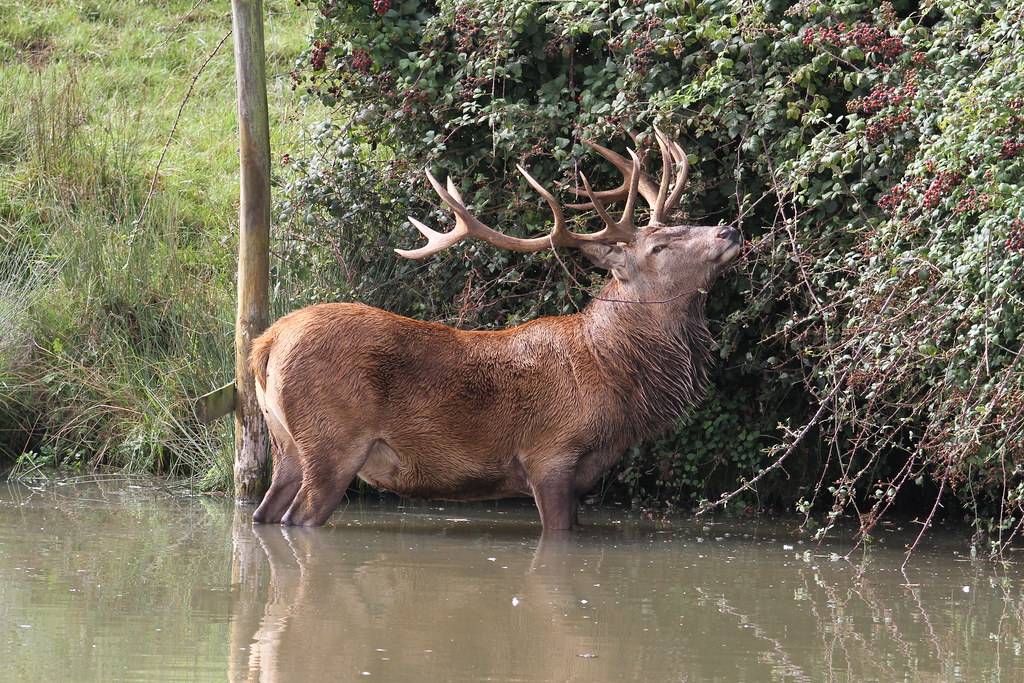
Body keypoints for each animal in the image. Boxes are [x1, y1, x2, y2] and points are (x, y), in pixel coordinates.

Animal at [248, 130, 741, 528]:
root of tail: (266, 342)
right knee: (298, 517)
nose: (729, 231)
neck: (612, 374)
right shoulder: (551, 455)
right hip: (333, 439)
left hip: (286, 442)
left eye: (683, 224)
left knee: (264, 512)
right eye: (659, 247)